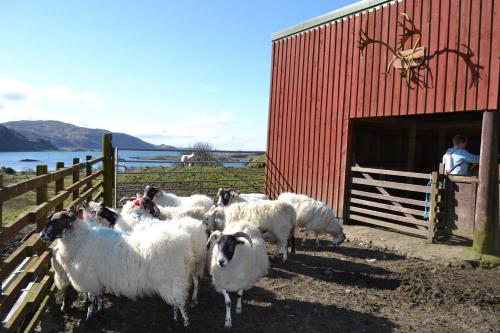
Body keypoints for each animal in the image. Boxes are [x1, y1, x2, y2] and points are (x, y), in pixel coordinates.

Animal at [41, 206, 195, 326]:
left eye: (56, 222)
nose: (42, 236)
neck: (81, 240)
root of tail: (183, 246)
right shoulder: (97, 279)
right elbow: (98, 298)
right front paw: (99, 313)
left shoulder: (90, 278)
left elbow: (91, 300)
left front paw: (89, 319)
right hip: (174, 281)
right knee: (177, 301)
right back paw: (175, 319)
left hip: (171, 279)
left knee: (181, 303)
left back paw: (185, 324)